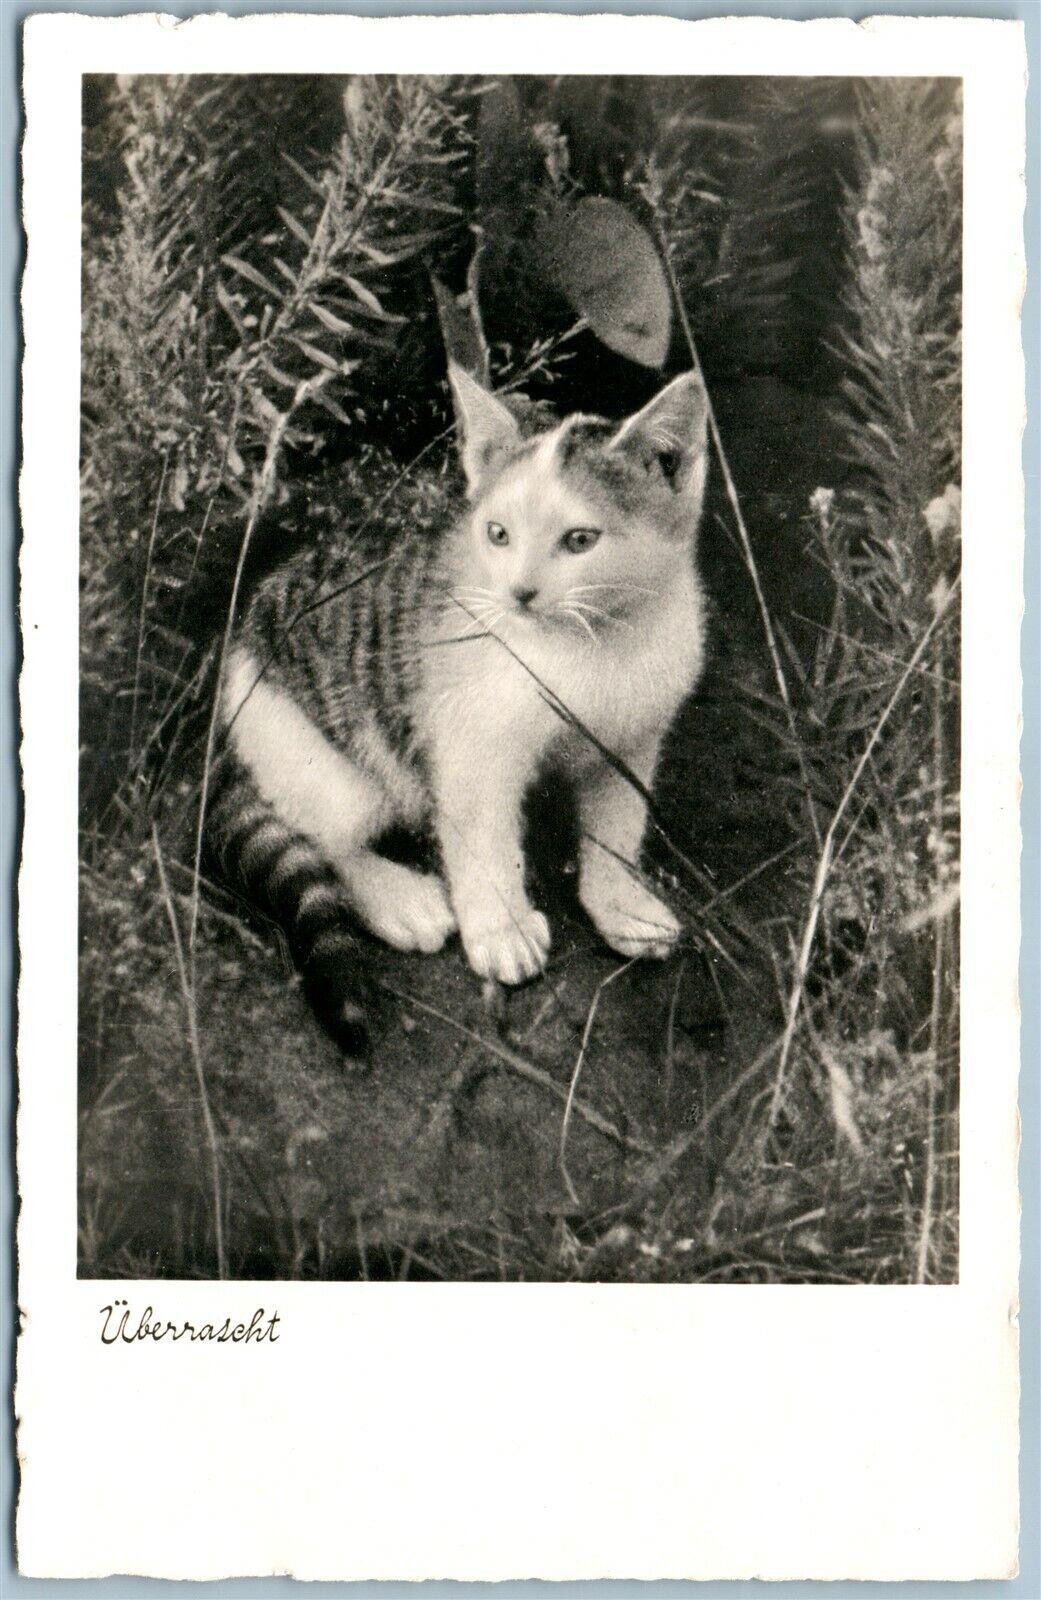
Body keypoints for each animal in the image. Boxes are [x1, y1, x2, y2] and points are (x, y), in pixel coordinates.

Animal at [207, 363, 713, 1062]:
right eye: (497, 534)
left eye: (580, 541)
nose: (519, 593)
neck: (596, 643)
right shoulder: (472, 741)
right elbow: (482, 835)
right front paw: (501, 928)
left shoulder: (633, 737)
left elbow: (618, 824)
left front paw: (618, 904)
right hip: (310, 742)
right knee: (323, 830)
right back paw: (398, 898)